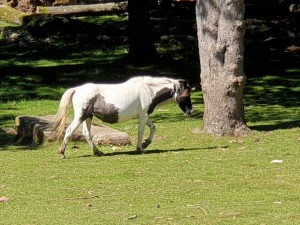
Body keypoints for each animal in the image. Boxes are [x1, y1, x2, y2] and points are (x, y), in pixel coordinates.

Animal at [50, 75, 193, 158]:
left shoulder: (144, 116)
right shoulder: (143, 115)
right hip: (81, 116)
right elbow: (141, 131)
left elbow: (153, 128)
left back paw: (97, 152)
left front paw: (146, 143)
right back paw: (62, 153)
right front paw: (141, 148)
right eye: (186, 94)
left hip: (88, 117)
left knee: (86, 134)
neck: (148, 90)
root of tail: (76, 89)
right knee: (69, 131)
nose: (190, 111)